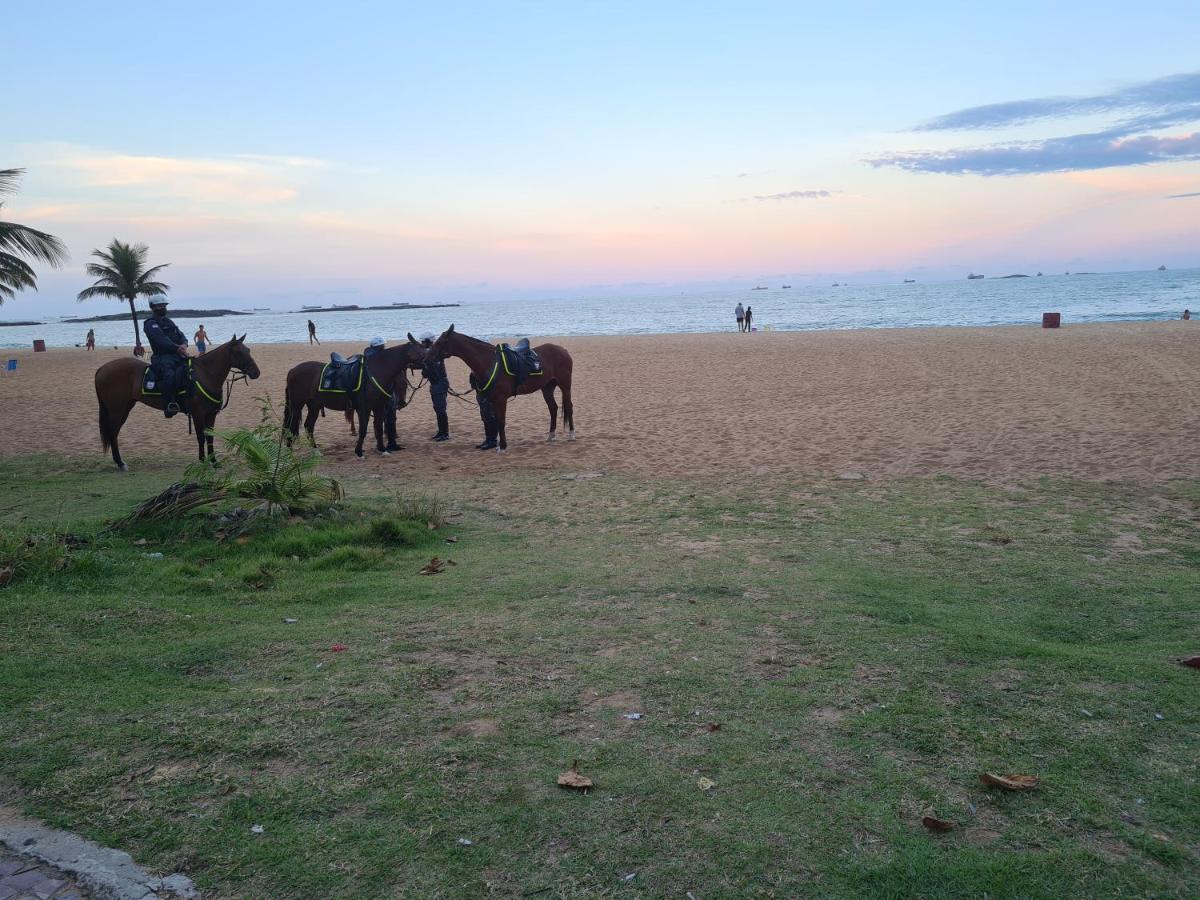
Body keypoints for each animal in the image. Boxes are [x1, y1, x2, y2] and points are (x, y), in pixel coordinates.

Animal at [94, 331, 261, 472]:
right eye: (239, 352)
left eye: (248, 350)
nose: (256, 373)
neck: (205, 374)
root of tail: (102, 368)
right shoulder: (198, 415)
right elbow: (201, 438)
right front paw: (202, 462)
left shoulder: (211, 415)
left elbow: (210, 438)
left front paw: (214, 462)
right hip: (117, 411)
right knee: (113, 433)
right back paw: (120, 463)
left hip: (125, 408)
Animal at [282, 340, 427, 458]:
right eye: (420, 351)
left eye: (405, 386)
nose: (429, 362)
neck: (375, 371)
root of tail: (293, 370)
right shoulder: (364, 408)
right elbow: (363, 430)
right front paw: (359, 452)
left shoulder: (378, 407)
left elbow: (378, 428)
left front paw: (382, 449)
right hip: (297, 405)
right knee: (291, 427)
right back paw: (289, 453)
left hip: (314, 406)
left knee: (308, 426)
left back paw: (315, 451)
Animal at [422, 324, 571, 453]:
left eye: (441, 342)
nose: (426, 359)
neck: (490, 362)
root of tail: (563, 350)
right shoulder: (491, 399)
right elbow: (495, 421)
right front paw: (496, 444)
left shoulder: (500, 399)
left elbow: (501, 421)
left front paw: (502, 446)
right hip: (547, 388)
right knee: (553, 408)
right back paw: (551, 436)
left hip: (565, 386)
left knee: (569, 406)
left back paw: (571, 434)